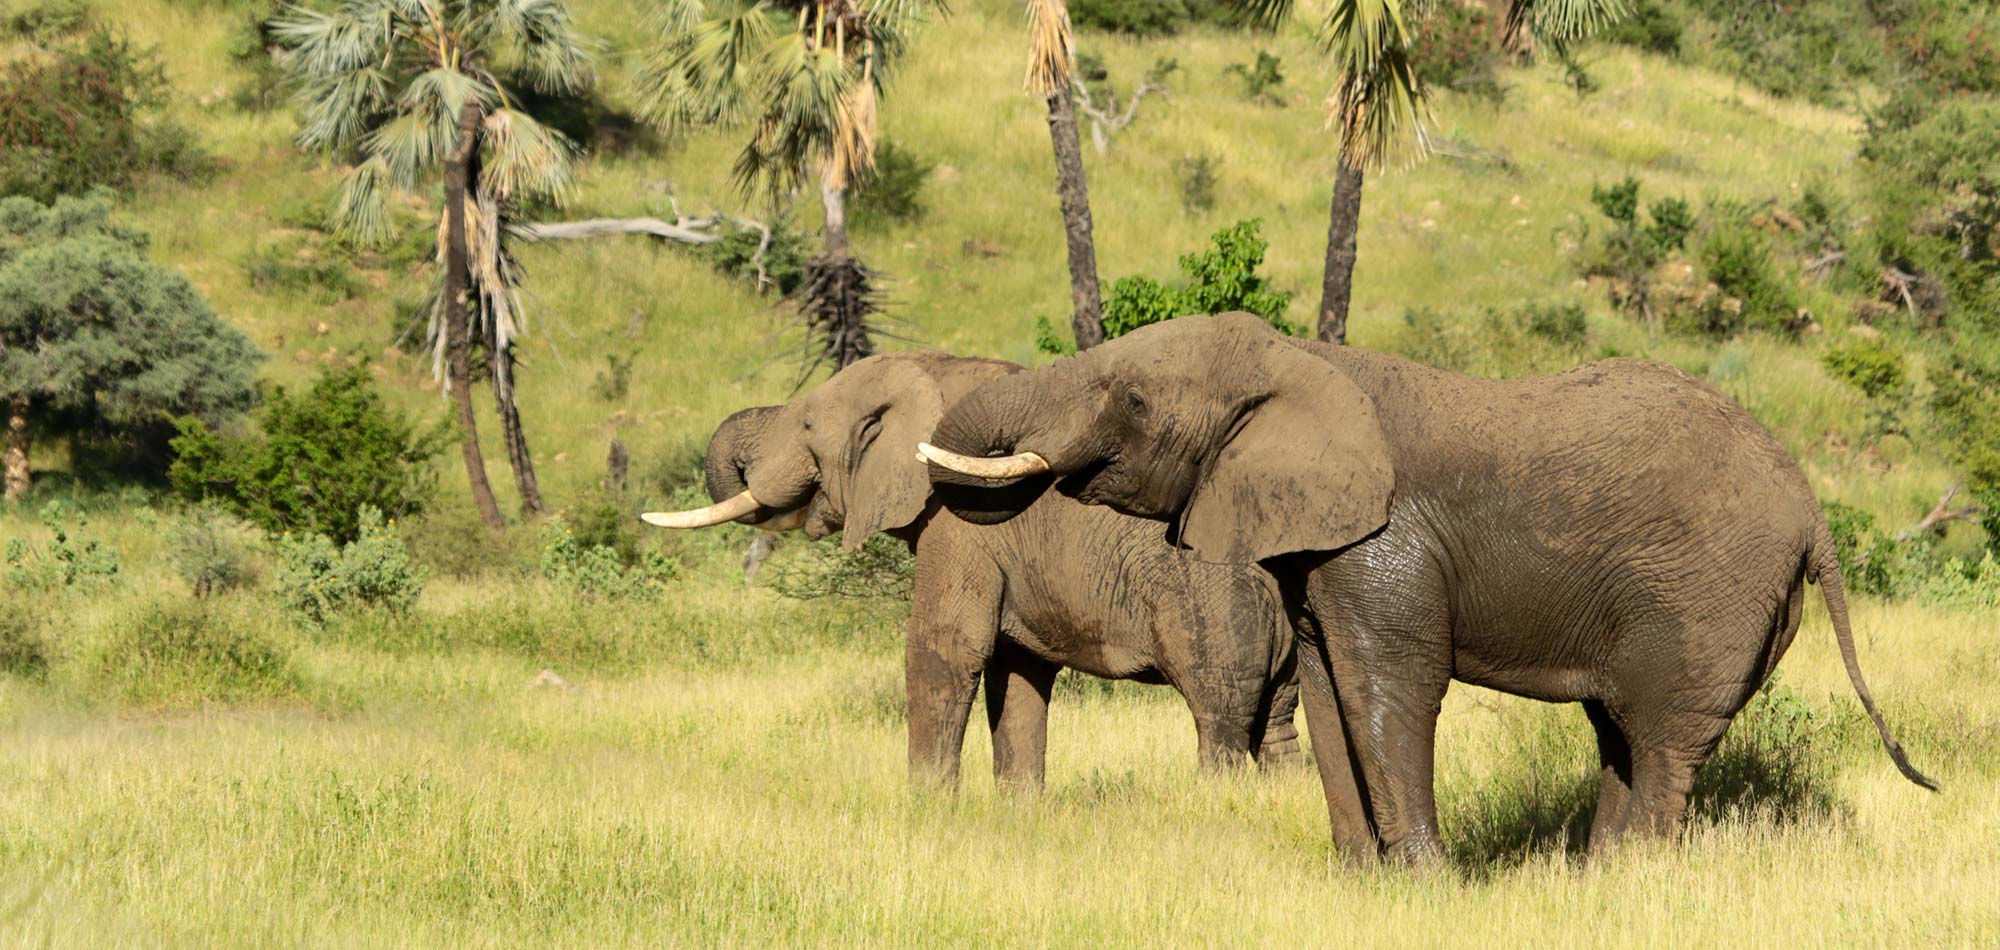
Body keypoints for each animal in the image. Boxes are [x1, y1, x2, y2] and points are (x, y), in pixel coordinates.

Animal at [640, 350, 1302, 790]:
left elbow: (944, 650)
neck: (929, 367)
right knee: (1276, 725)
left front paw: (926, 812)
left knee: (1220, 722)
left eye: (805, 426)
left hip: (1213, 611)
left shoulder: (959, 525)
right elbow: (1018, 674)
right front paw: (1020, 813)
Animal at [920, 312, 1935, 862]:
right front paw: (1361, 884)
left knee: (1664, 744)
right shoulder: (1320, 559)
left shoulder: (1386, 540)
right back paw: (1591, 880)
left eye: (1131, 398)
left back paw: (1634, 881)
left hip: (1712, 595)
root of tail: (1812, 508)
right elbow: (1329, 695)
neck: (1302, 360)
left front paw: (1425, 883)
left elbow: (1387, 692)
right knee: (1623, 734)